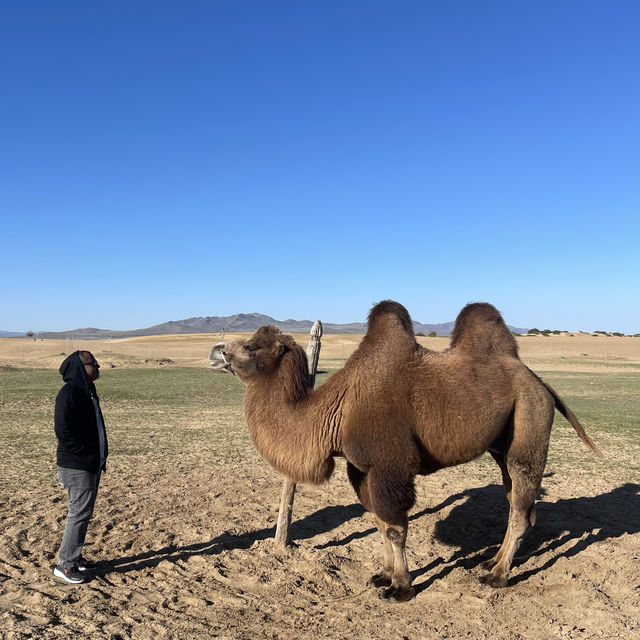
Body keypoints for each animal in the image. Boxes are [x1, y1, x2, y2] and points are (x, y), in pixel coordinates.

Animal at [209, 300, 600, 600]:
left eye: (252, 347)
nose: (216, 351)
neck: (336, 411)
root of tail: (539, 382)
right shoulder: (361, 468)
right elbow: (380, 523)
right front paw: (382, 575)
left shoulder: (390, 466)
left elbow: (395, 527)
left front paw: (401, 588)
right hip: (501, 446)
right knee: (517, 502)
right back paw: (491, 561)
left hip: (529, 425)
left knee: (520, 507)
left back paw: (497, 576)